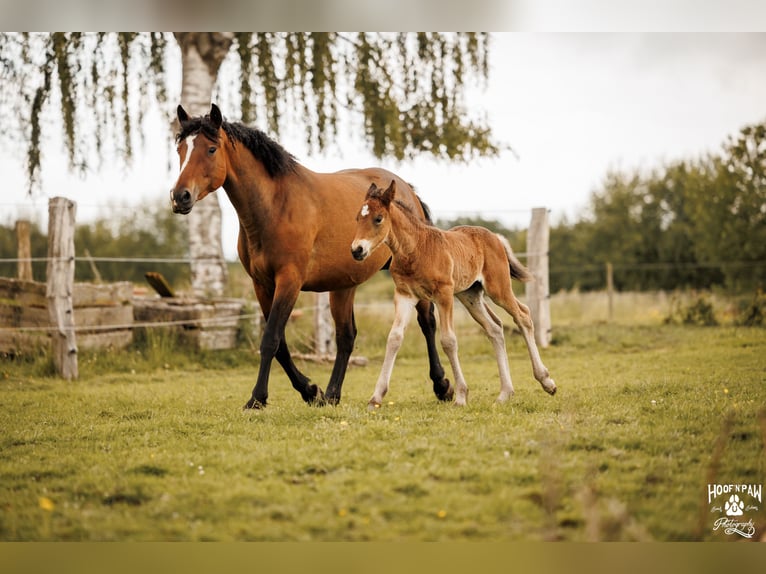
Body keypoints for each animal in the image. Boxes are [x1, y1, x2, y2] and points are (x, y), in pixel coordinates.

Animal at [169, 104, 453, 409]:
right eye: (180, 149)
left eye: (211, 149)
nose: (179, 197)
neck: (276, 206)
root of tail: (405, 189)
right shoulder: (262, 285)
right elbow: (281, 344)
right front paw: (310, 391)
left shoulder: (289, 281)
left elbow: (270, 339)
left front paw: (257, 398)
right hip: (343, 286)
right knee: (346, 336)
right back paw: (332, 394)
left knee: (427, 323)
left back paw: (442, 386)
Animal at [351, 181, 557, 408]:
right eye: (357, 218)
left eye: (378, 218)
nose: (357, 250)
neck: (416, 250)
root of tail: (495, 237)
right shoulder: (405, 295)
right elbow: (394, 338)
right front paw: (375, 398)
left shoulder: (444, 294)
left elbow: (448, 341)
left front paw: (460, 396)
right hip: (470, 296)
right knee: (494, 328)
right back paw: (505, 393)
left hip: (498, 288)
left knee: (523, 315)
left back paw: (547, 382)